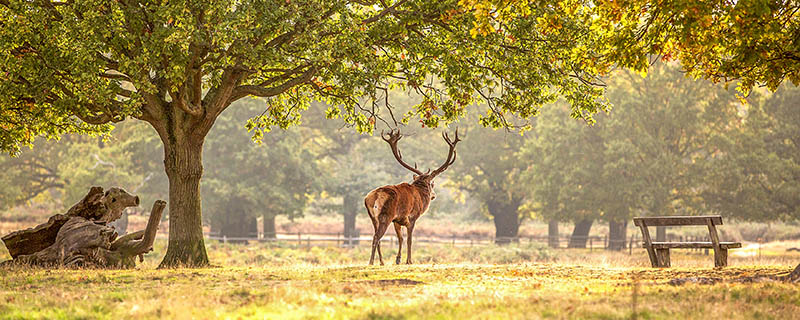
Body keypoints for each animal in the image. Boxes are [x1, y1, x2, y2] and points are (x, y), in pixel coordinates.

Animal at [364, 128, 460, 264]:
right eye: (432, 184)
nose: (434, 196)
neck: (421, 196)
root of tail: (374, 196)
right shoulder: (412, 217)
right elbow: (409, 240)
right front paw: (409, 261)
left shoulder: (397, 220)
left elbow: (400, 238)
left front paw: (398, 259)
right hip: (385, 216)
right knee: (376, 237)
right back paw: (371, 262)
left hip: (373, 218)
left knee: (378, 238)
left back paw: (382, 262)